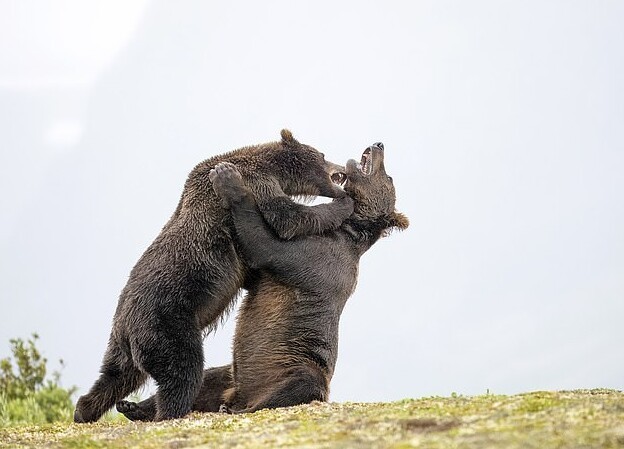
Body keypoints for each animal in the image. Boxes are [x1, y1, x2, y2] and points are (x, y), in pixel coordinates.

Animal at [74, 129, 356, 420]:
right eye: (322, 154)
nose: (342, 168)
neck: (273, 168)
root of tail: (126, 328)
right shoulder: (258, 182)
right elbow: (287, 218)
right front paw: (344, 204)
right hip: (167, 322)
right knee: (182, 369)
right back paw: (170, 411)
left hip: (124, 342)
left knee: (115, 376)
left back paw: (86, 410)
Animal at [117, 142, 410, 418]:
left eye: (389, 176)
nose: (379, 144)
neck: (348, 231)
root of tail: (241, 396)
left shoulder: (315, 257)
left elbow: (265, 244)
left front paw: (228, 179)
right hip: (232, 374)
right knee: (208, 377)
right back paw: (133, 406)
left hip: (295, 365)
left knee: (300, 384)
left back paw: (233, 410)